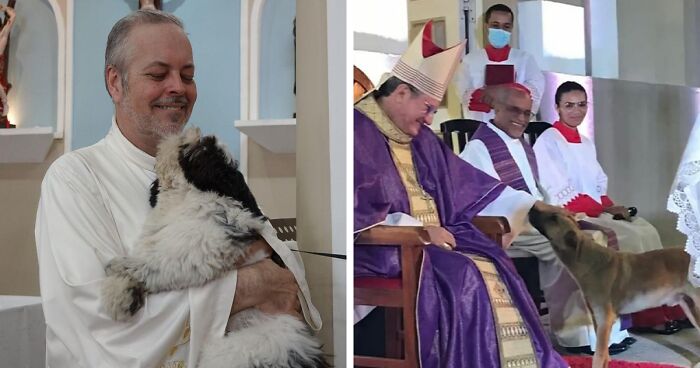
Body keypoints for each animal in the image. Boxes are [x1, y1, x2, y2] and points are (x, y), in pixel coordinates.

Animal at [99, 127, 328, 368]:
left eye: (205, 151)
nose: (194, 131)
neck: (182, 199)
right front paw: (120, 295)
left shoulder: (206, 246)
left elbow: (159, 264)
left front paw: (121, 268)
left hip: (243, 349)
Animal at [532, 207, 700, 368]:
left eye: (553, 217)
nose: (532, 208)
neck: (590, 262)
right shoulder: (598, 320)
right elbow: (604, 355)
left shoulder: (604, 320)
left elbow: (598, 357)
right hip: (690, 307)